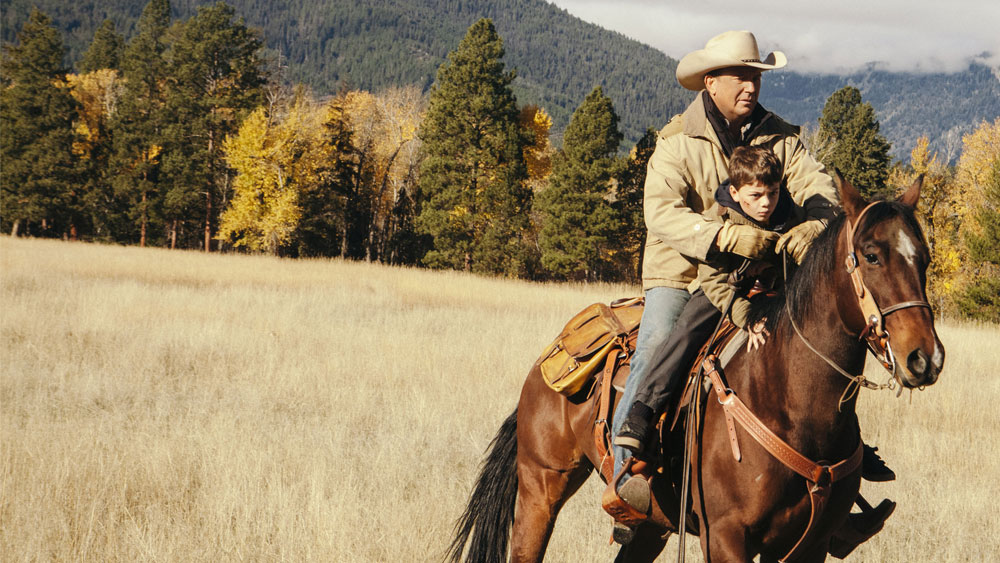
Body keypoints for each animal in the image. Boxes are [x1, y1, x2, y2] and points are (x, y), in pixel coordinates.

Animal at [450, 177, 940, 563]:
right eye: (871, 255)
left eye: (925, 257)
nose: (925, 358)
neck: (792, 403)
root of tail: (543, 366)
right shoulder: (725, 537)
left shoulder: (809, 546)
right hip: (541, 488)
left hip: (650, 521)